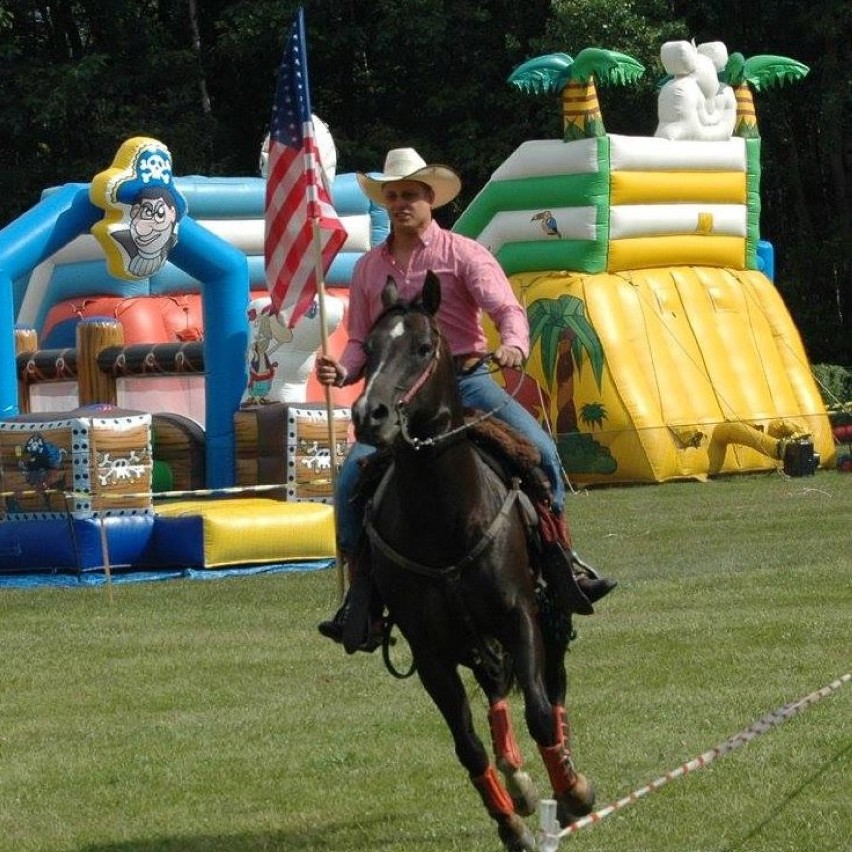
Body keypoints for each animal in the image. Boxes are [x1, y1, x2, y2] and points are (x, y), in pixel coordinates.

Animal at [352, 274, 592, 852]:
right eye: (368, 348)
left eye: (423, 347)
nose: (370, 415)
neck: (445, 520)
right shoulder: (430, 652)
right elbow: (468, 744)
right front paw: (512, 825)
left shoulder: (520, 616)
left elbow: (541, 713)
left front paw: (572, 792)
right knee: (495, 695)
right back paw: (519, 782)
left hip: (552, 619)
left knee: (553, 691)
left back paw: (563, 774)